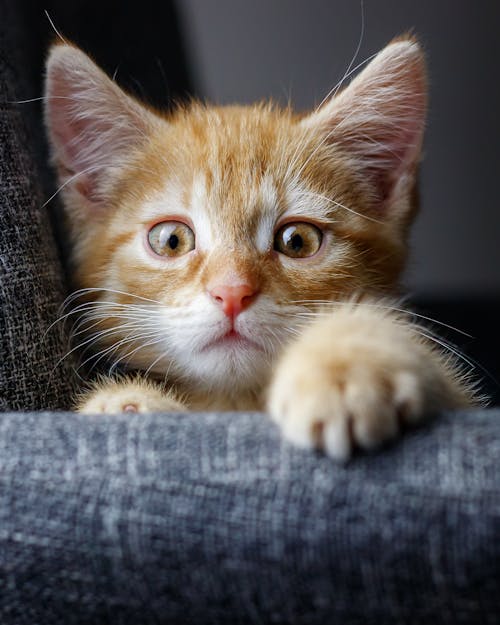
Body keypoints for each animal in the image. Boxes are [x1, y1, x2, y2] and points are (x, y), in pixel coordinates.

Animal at [45, 36, 474, 460]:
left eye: (297, 241)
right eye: (171, 240)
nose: (232, 293)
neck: (236, 401)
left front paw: (344, 368)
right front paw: (127, 403)